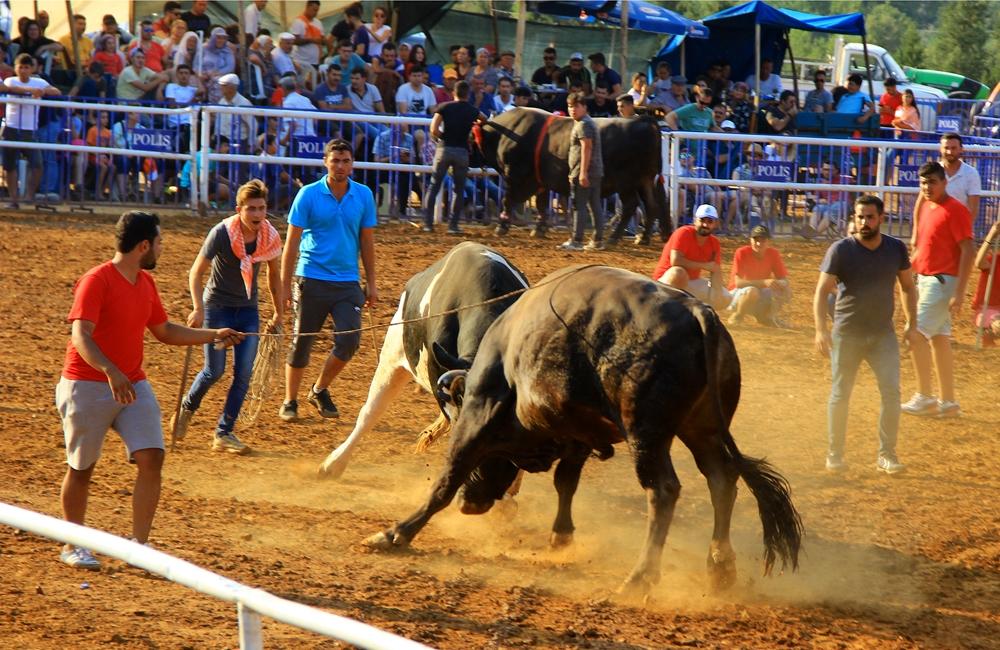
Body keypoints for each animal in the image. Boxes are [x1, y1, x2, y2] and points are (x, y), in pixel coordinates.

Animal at [368, 264, 804, 596]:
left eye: (459, 408)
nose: (471, 503)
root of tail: (701, 314)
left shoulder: (480, 412)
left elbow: (448, 476)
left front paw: (396, 533)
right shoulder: (576, 434)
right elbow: (566, 481)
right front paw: (561, 535)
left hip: (647, 434)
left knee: (663, 490)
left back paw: (641, 577)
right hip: (703, 428)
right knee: (722, 479)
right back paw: (719, 566)